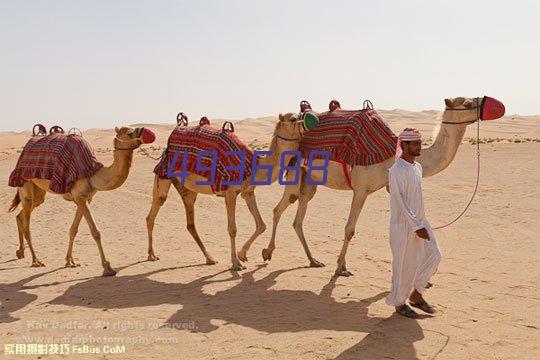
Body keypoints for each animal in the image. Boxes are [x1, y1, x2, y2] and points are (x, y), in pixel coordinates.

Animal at [8, 126, 156, 276]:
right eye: (129, 133)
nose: (146, 131)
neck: (93, 174)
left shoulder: (85, 198)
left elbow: (73, 229)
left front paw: (70, 261)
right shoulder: (79, 197)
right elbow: (95, 232)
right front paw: (107, 267)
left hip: (38, 193)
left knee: (21, 215)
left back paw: (20, 252)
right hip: (24, 184)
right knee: (27, 224)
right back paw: (36, 261)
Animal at [146, 113, 312, 270]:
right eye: (293, 118)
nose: (309, 122)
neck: (254, 166)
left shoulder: (248, 192)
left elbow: (261, 225)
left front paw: (243, 254)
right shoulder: (231, 193)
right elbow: (232, 229)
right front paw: (236, 263)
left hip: (187, 189)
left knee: (190, 223)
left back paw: (210, 258)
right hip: (164, 174)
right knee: (154, 210)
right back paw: (151, 255)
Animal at [242, 95, 506, 276]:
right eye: (466, 102)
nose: (491, 103)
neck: (391, 152)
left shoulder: (389, 187)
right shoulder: (361, 189)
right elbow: (349, 229)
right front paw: (341, 267)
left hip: (310, 181)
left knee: (297, 218)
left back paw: (312, 260)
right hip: (296, 174)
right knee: (280, 208)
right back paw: (265, 252)